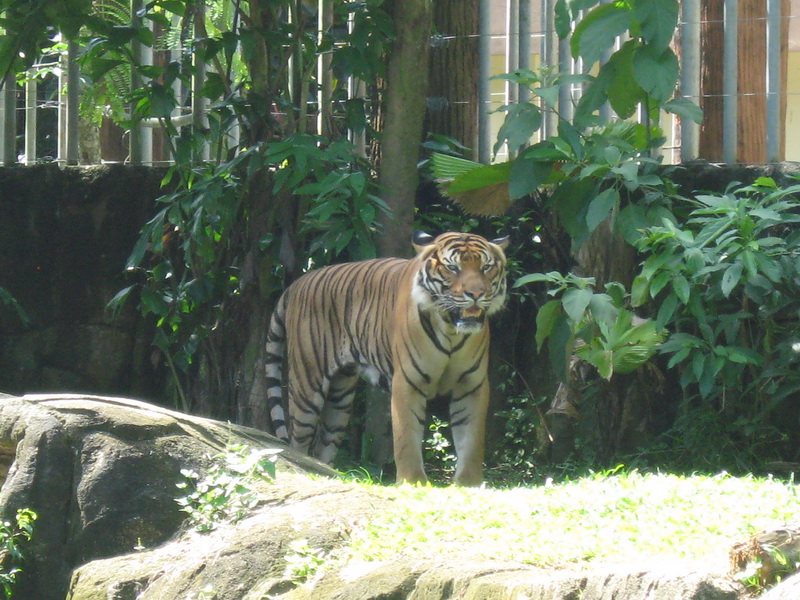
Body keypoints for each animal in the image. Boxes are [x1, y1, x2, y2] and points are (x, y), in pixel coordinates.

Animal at [266, 231, 510, 488]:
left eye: (486, 267)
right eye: (453, 267)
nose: (476, 294)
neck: (451, 330)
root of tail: (296, 284)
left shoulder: (471, 384)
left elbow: (471, 439)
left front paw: (468, 484)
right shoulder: (408, 382)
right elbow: (407, 437)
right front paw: (412, 482)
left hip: (340, 397)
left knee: (324, 445)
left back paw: (325, 473)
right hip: (307, 386)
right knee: (298, 442)